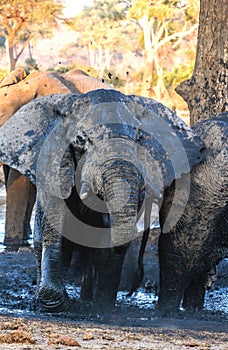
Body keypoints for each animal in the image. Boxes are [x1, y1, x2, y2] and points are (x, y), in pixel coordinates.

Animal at [0, 88, 205, 312]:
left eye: (139, 138)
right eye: (80, 141)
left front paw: (102, 308)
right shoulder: (52, 166)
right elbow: (53, 229)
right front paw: (54, 302)